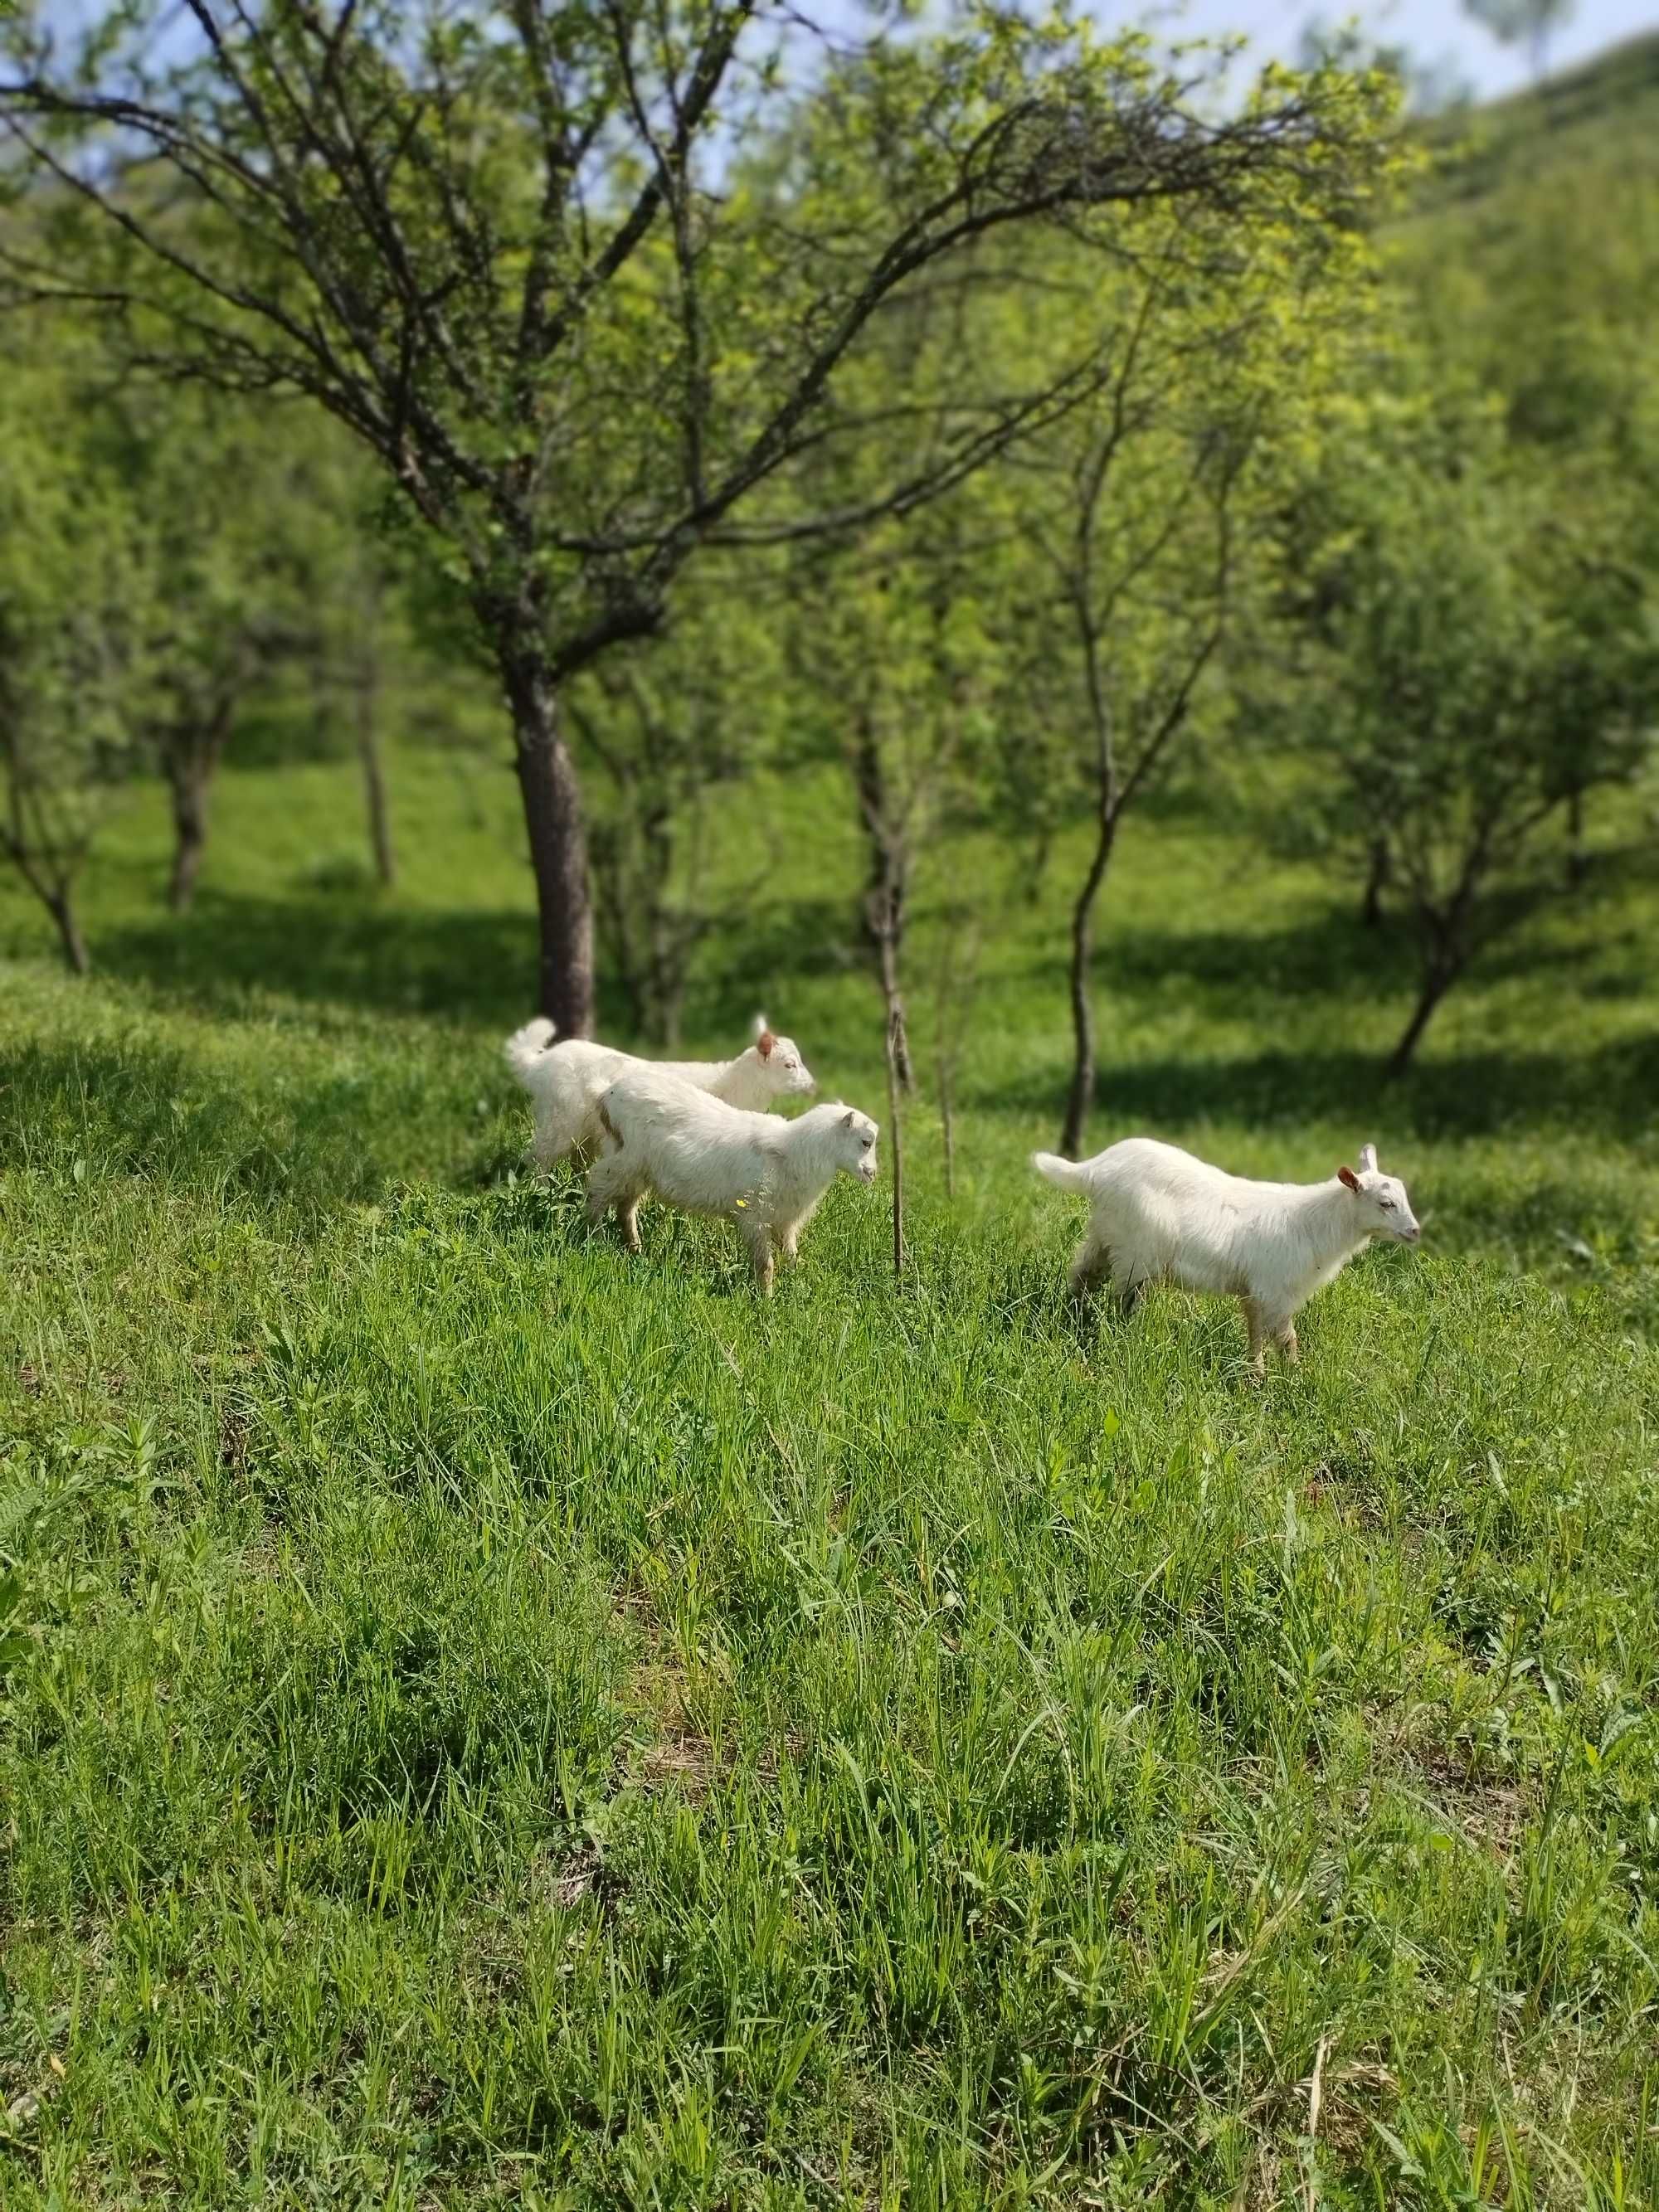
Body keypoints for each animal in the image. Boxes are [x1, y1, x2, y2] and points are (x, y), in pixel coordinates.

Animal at [506, 1009, 818, 1168]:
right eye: (789, 1065)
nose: (813, 1086)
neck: (733, 1085)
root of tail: (538, 1064)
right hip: (559, 1117)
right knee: (538, 1157)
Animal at [592, 1070, 884, 1291]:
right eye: (865, 1142)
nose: (872, 1174)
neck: (794, 1152)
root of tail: (607, 1094)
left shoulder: (785, 1221)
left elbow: (791, 1256)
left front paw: (797, 1287)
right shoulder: (754, 1218)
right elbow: (766, 1265)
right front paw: (766, 1300)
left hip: (638, 1170)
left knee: (626, 1208)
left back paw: (635, 1250)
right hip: (625, 1159)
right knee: (596, 1187)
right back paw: (589, 1235)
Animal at [1035, 1141, 1424, 1362]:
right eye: (1386, 1203)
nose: (1415, 1231)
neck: (1314, 1224)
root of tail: (1096, 1168)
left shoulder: (1254, 1293)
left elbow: (1255, 1335)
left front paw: (1255, 1378)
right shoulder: (1274, 1291)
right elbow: (1286, 1340)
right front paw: (1294, 1380)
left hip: (1105, 1234)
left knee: (1082, 1273)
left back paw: (1071, 1316)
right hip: (1136, 1252)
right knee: (1122, 1299)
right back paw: (1119, 1339)